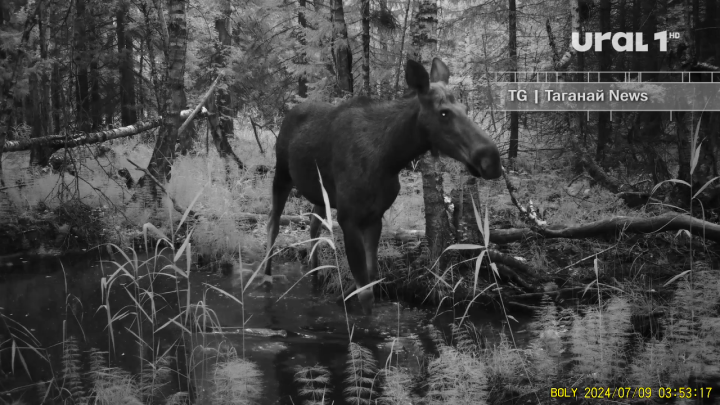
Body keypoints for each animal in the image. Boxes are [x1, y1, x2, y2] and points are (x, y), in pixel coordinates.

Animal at [262, 58, 504, 314]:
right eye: (444, 112)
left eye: (466, 110)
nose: (492, 160)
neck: (389, 159)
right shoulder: (348, 219)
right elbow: (365, 291)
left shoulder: (374, 217)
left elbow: (372, 276)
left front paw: (341, 298)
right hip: (281, 174)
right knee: (273, 223)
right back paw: (266, 278)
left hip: (320, 193)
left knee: (314, 227)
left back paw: (315, 280)